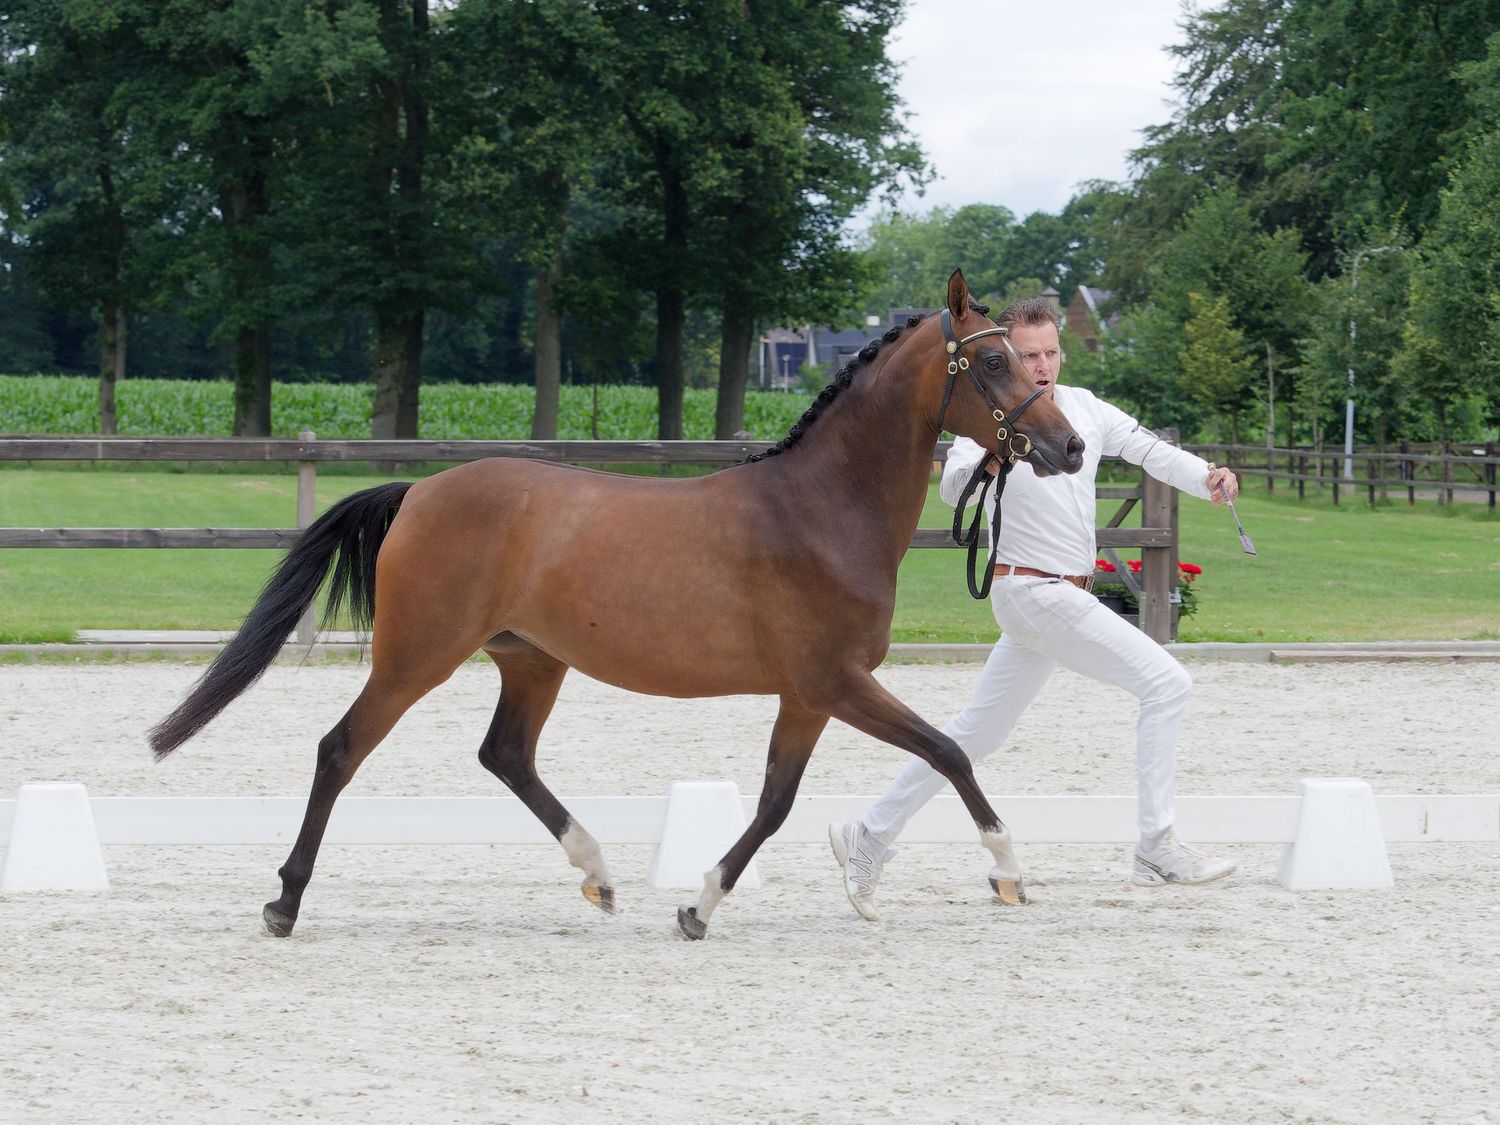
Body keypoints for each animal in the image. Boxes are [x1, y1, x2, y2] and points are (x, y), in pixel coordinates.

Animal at [148, 270, 1086, 940]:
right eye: (994, 361)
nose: (1070, 446)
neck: (823, 505)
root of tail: (420, 492)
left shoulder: (807, 694)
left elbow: (776, 801)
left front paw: (699, 905)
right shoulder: (837, 681)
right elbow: (947, 752)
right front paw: (1008, 868)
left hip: (532, 659)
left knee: (505, 754)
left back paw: (597, 872)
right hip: (418, 655)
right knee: (341, 749)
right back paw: (285, 903)